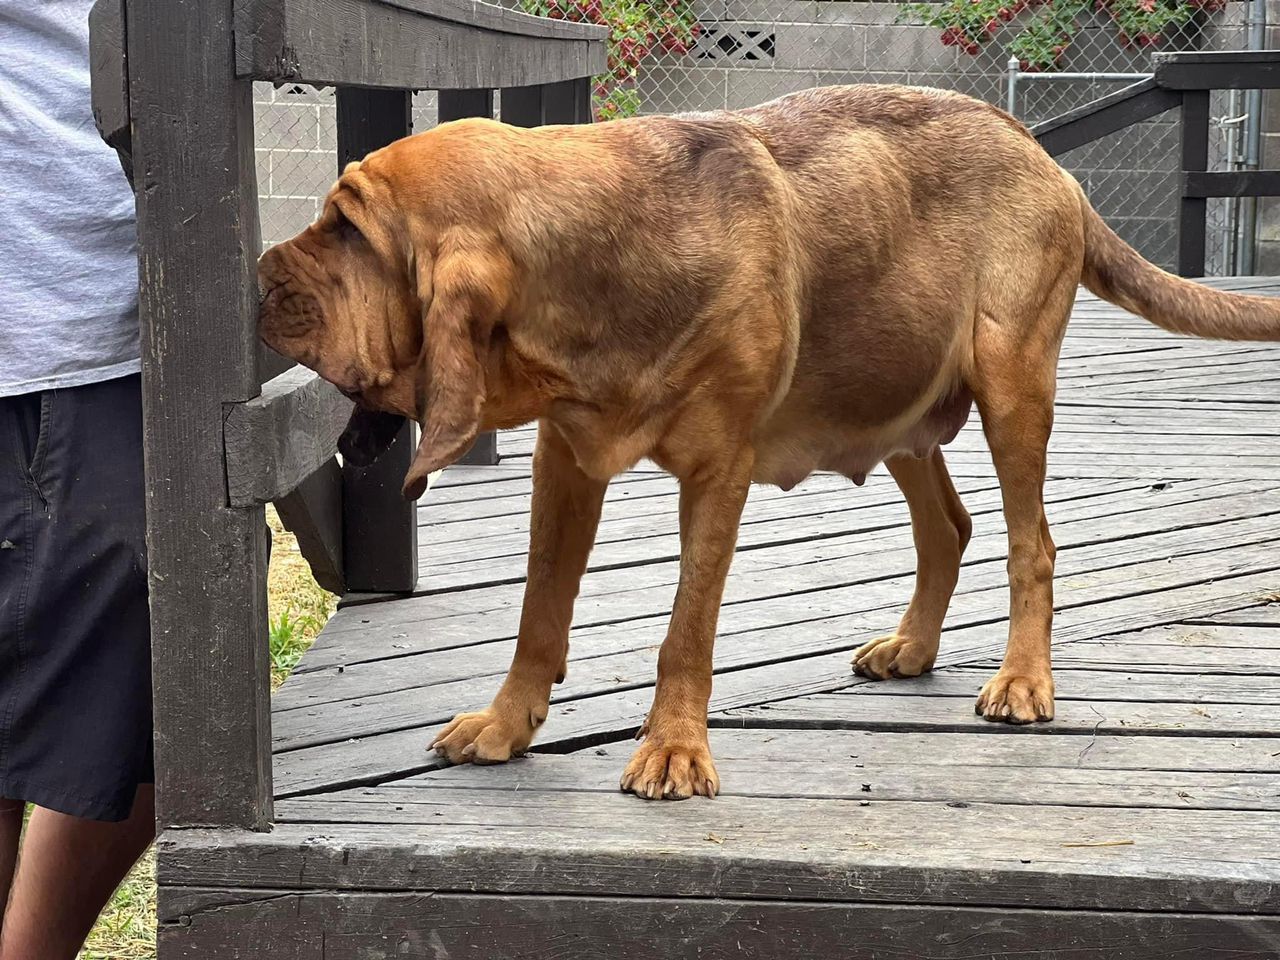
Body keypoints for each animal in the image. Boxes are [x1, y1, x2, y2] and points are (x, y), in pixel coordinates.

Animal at [257, 86, 1280, 798]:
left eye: (347, 228)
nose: (262, 273)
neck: (605, 258)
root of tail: (1039, 151)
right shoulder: (567, 463)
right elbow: (538, 613)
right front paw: (508, 725)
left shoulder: (717, 473)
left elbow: (687, 628)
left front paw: (673, 750)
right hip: (902, 410)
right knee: (947, 529)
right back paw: (913, 647)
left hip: (1012, 385)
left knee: (1034, 543)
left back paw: (1024, 680)